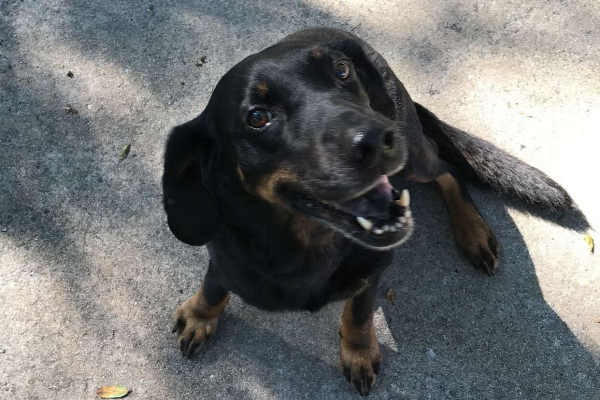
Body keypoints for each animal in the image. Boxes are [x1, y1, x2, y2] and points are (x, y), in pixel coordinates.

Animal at [162, 27, 576, 394]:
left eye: (342, 71)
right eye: (258, 117)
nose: (378, 138)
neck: (306, 242)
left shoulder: (372, 270)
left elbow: (358, 312)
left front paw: (359, 352)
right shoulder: (223, 259)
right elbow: (213, 287)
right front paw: (199, 316)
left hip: (414, 156)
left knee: (446, 167)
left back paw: (474, 233)